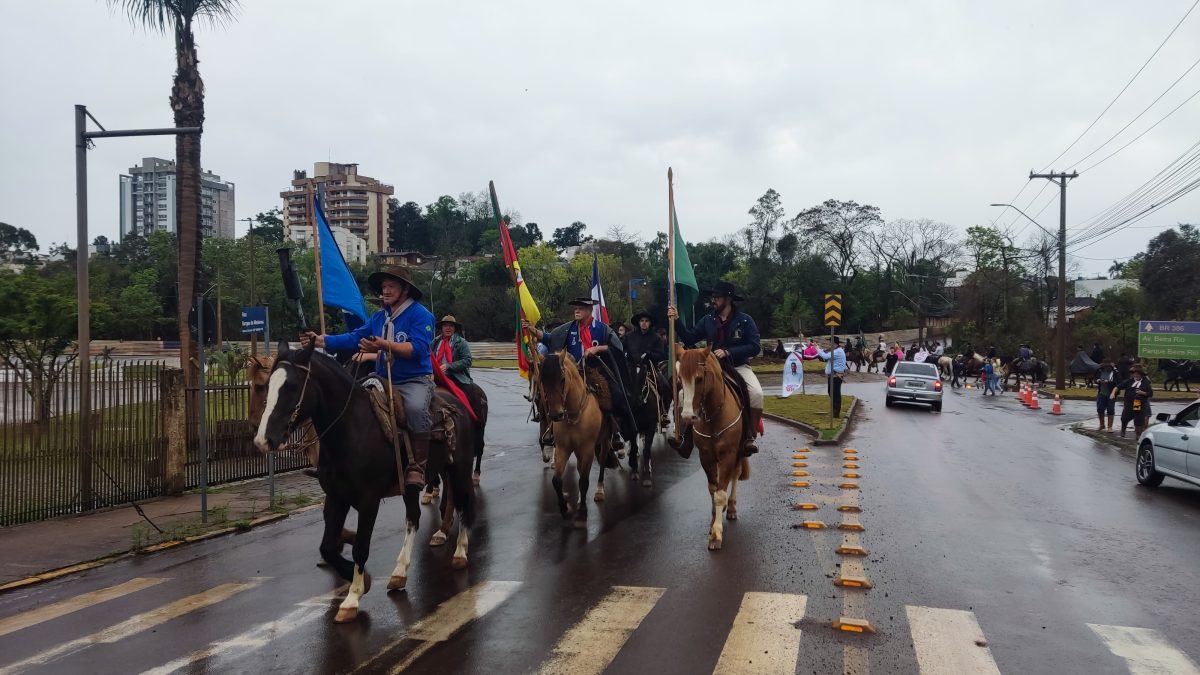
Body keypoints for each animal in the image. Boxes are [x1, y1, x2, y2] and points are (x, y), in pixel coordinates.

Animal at [254, 341, 477, 619]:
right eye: (267, 385)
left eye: (292, 386)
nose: (264, 440)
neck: (351, 430)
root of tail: (458, 404)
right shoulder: (336, 497)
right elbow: (327, 546)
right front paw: (360, 579)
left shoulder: (368, 501)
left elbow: (361, 546)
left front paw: (352, 598)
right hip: (411, 484)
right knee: (413, 518)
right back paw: (400, 572)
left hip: (459, 470)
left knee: (463, 505)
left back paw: (460, 552)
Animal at [537, 348, 604, 523]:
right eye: (542, 380)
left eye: (561, 379)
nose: (556, 414)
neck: (575, 413)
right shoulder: (563, 448)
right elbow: (556, 480)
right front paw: (564, 508)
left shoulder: (588, 449)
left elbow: (584, 481)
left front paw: (583, 512)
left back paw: (600, 490)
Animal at [676, 343, 748, 550]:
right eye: (680, 378)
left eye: (699, 378)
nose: (688, 416)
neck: (714, 415)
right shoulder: (706, 456)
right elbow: (712, 489)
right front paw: (713, 522)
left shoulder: (728, 454)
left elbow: (720, 493)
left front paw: (716, 534)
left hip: (740, 453)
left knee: (735, 475)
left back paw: (731, 507)